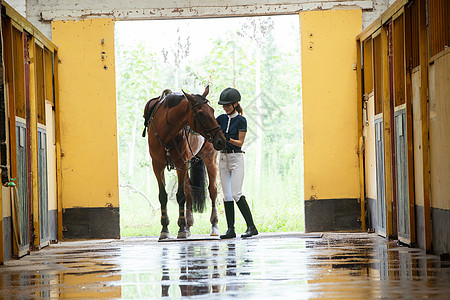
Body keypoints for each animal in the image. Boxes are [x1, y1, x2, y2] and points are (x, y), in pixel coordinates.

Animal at [143, 86, 227, 239]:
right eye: (200, 114)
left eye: (212, 110)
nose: (221, 140)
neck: (166, 131)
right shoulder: (157, 166)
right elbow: (163, 196)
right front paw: (165, 228)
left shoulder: (180, 165)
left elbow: (180, 195)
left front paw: (181, 227)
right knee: (189, 190)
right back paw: (189, 224)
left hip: (210, 159)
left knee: (212, 190)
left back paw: (214, 224)